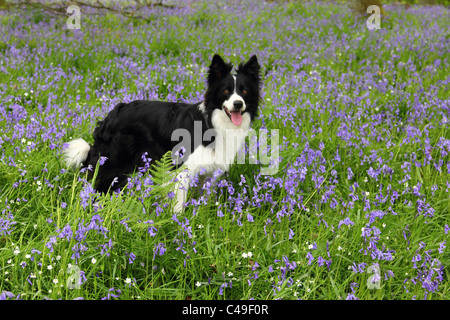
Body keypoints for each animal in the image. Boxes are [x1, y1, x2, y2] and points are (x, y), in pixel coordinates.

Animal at [62, 54, 260, 211]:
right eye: (226, 91)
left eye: (244, 91)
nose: (238, 104)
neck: (213, 122)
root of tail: (112, 114)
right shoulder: (183, 170)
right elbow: (178, 205)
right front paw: (177, 225)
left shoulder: (210, 172)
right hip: (113, 164)